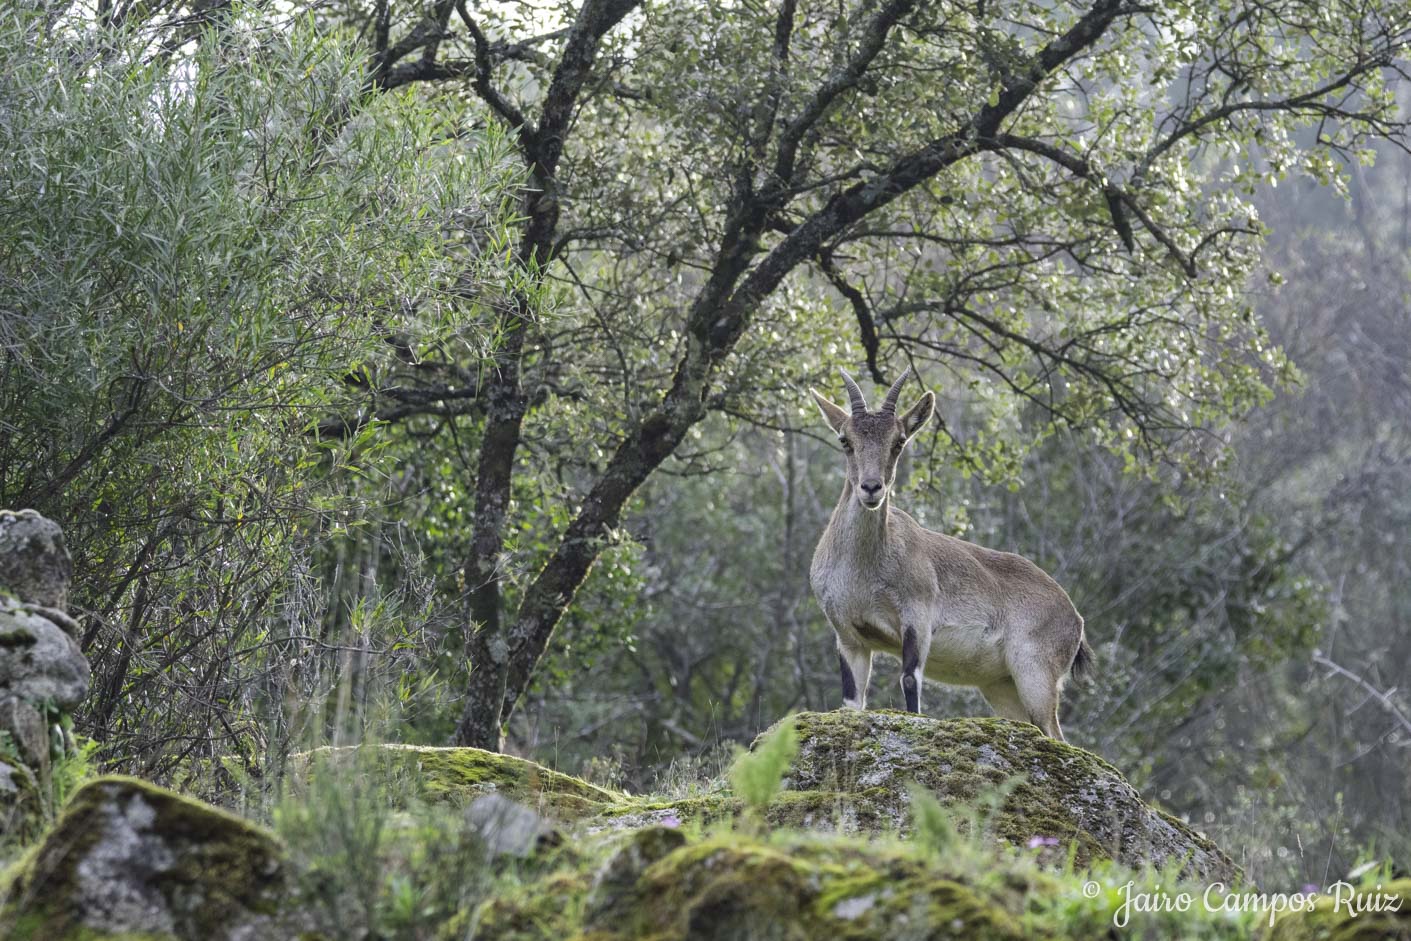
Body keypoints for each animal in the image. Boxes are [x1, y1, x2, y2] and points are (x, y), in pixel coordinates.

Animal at [808, 368, 1092, 740]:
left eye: (899, 441)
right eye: (845, 440)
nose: (871, 488)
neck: (862, 573)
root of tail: (1075, 618)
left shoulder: (917, 617)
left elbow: (909, 680)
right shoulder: (849, 636)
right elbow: (852, 702)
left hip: (1036, 674)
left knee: (1055, 733)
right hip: (1002, 685)